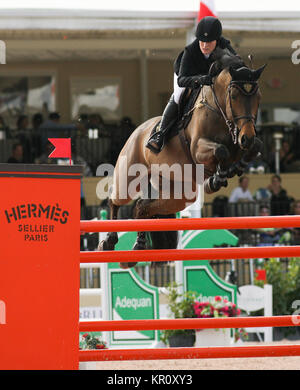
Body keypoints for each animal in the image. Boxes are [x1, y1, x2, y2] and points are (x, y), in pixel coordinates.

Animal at [99, 48, 266, 268]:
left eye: (258, 96)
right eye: (234, 95)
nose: (247, 136)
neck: (219, 111)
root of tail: (138, 131)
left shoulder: (240, 141)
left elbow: (253, 148)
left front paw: (228, 172)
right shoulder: (197, 149)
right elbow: (221, 151)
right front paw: (215, 179)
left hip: (179, 195)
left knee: (142, 208)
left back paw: (137, 249)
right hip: (129, 176)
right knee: (116, 199)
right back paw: (108, 241)